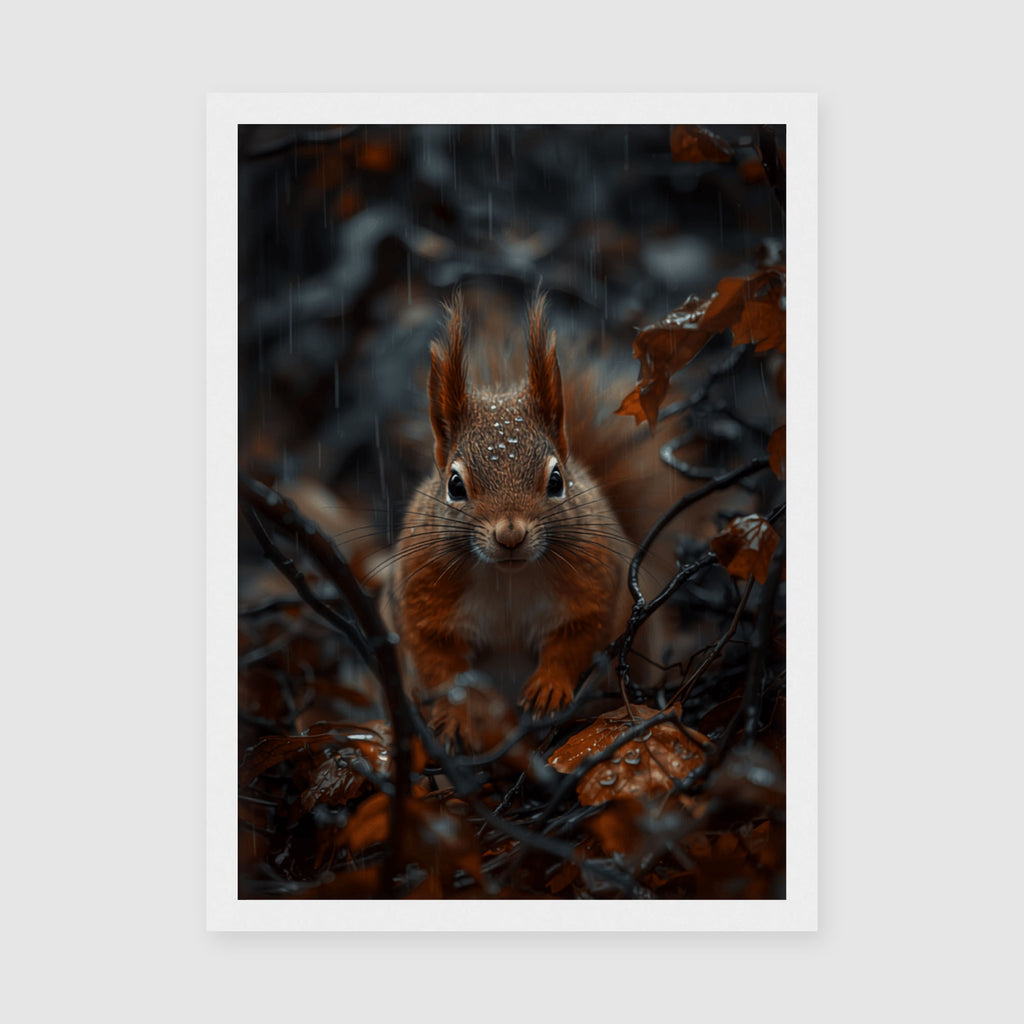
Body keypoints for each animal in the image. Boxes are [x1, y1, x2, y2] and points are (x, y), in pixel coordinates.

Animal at [380, 291, 680, 747]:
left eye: (556, 480)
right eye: (454, 485)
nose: (510, 535)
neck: (508, 578)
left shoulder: (595, 584)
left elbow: (578, 637)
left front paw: (549, 687)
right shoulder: (421, 594)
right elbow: (439, 661)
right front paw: (454, 714)